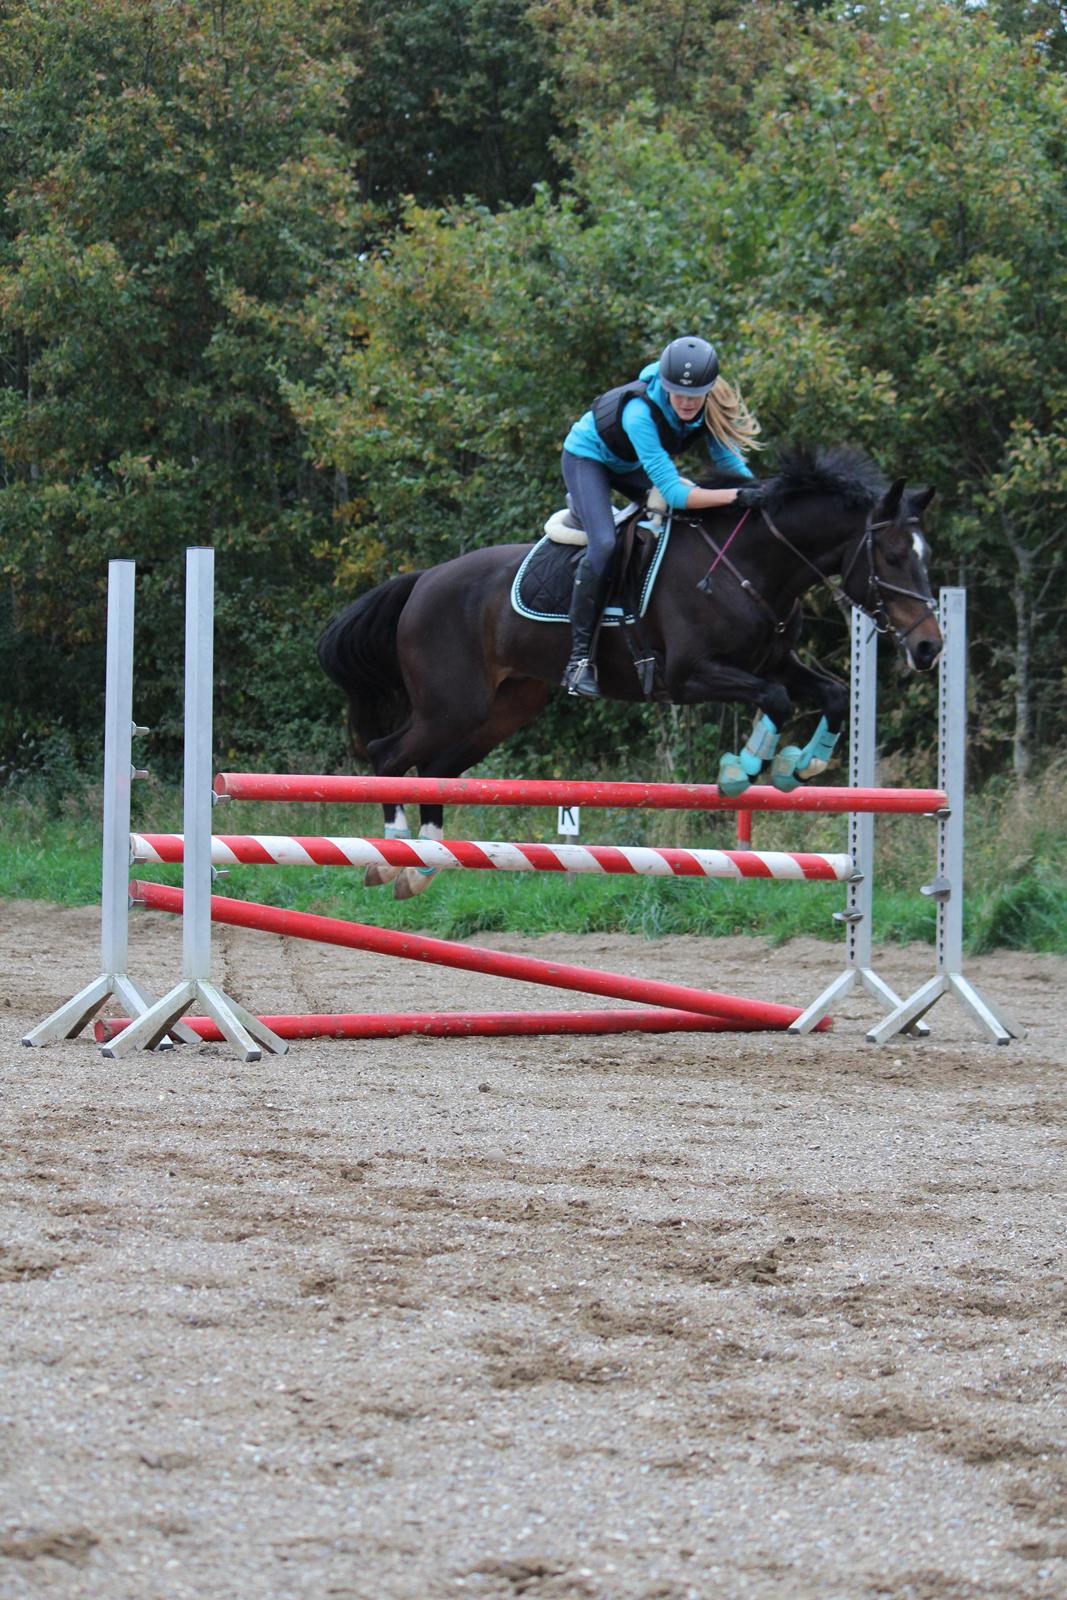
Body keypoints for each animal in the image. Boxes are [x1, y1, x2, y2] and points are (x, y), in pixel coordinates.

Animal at [317, 444, 943, 898]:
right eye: (891, 556)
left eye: (925, 555)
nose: (929, 647)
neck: (751, 567)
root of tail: (422, 581)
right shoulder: (690, 676)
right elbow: (776, 700)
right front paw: (745, 769)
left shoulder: (776, 663)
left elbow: (832, 694)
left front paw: (802, 764)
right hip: (452, 705)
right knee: (390, 757)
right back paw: (387, 857)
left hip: (504, 709)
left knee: (435, 770)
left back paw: (419, 866)